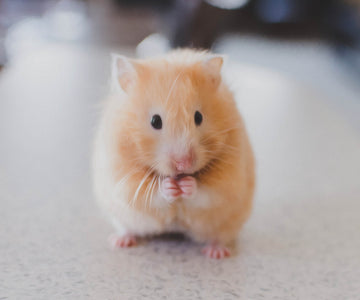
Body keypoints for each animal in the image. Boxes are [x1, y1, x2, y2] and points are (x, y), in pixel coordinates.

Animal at [93, 49, 256, 258]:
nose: (183, 164)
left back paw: (216, 253)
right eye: (155, 121)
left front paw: (187, 185)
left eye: (198, 117)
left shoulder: (229, 177)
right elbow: (149, 193)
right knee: (127, 228)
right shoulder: (122, 176)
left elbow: (208, 192)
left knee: (219, 236)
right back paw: (120, 241)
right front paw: (170, 186)